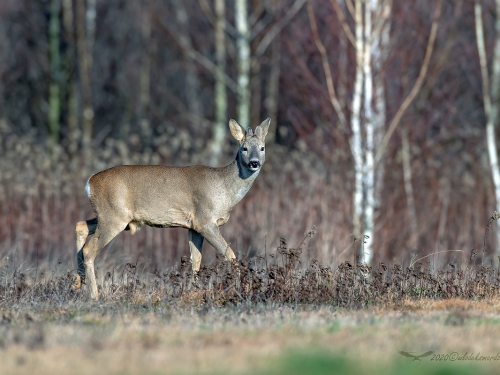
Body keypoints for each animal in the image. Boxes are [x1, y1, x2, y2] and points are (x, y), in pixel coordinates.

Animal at [73, 117, 270, 300]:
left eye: (262, 148)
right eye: (244, 148)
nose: (254, 163)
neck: (224, 189)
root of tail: (90, 182)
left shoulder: (194, 226)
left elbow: (196, 259)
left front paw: (192, 292)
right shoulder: (205, 221)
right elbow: (229, 253)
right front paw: (244, 288)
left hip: (109, 216)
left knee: (80, 225)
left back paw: (76, 283)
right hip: (113, 217)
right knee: (89, 250)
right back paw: (94, 295)